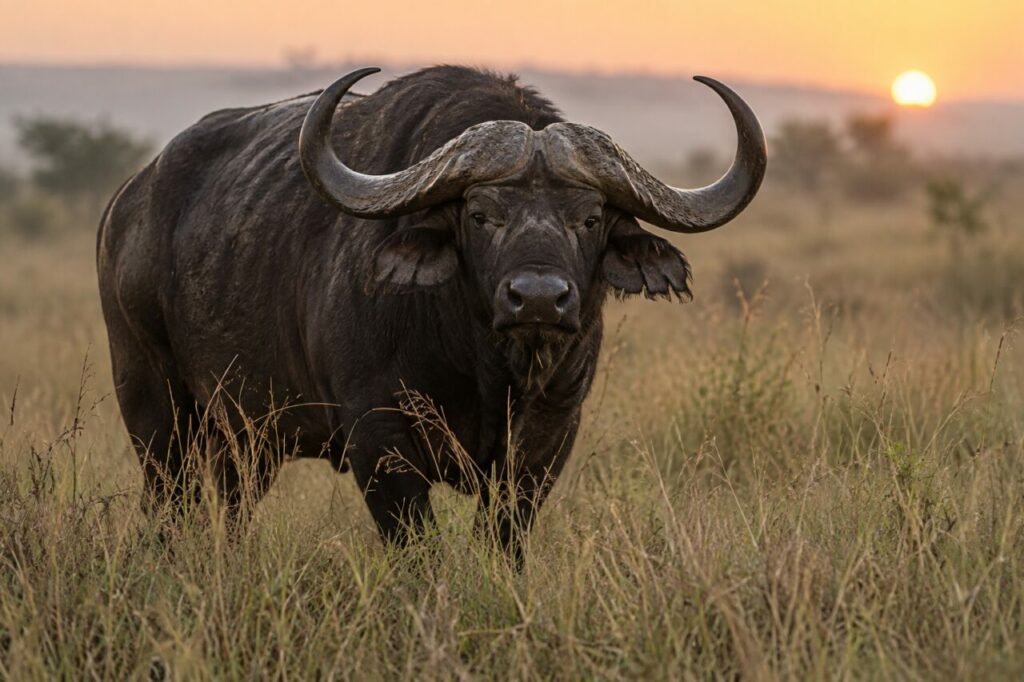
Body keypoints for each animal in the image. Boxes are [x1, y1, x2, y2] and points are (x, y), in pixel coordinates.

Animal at [97, 65, 765, 560]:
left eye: (591, 217)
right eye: (480, 214)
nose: (539, 298)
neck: (485, 366)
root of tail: (128, 201)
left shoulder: (548, 435)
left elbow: (505, 537)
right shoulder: (379, 439)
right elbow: (418, 549)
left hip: (246, 436)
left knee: (230, 508)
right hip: (155, 409)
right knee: (170, 504)